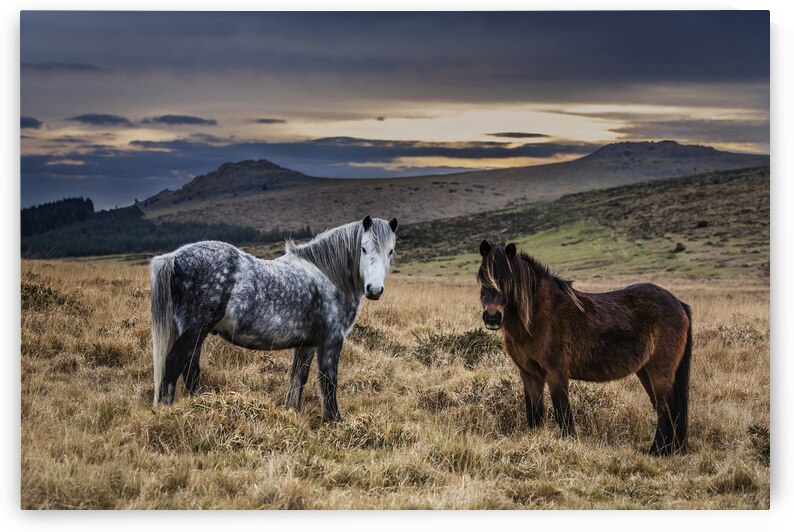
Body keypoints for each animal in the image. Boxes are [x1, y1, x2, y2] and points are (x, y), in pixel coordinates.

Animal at [150, 215, 399, 421]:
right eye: (363, 248)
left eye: (391, 251)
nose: (374, 289)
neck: (328, 275)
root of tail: (174, 257)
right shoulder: (331, 340)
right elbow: (328, 381)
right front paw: (333, 420)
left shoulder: (307, 344)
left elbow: (298, 378)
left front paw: (291, 413)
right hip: (195, 330)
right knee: (174, 364)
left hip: (196, 333)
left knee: (190, 367)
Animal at [477, 241, 692, 456]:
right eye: (482, 278)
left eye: (508, 280)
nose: (492, 318)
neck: (538, 316)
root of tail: (678, 303)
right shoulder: (529, 374)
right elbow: (534, 414)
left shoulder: (556, 373)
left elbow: (563, 413)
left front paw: (569, 445)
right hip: (645, 371)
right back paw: (669, 450)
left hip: (660, 371)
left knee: (667, 408)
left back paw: (657, 452)